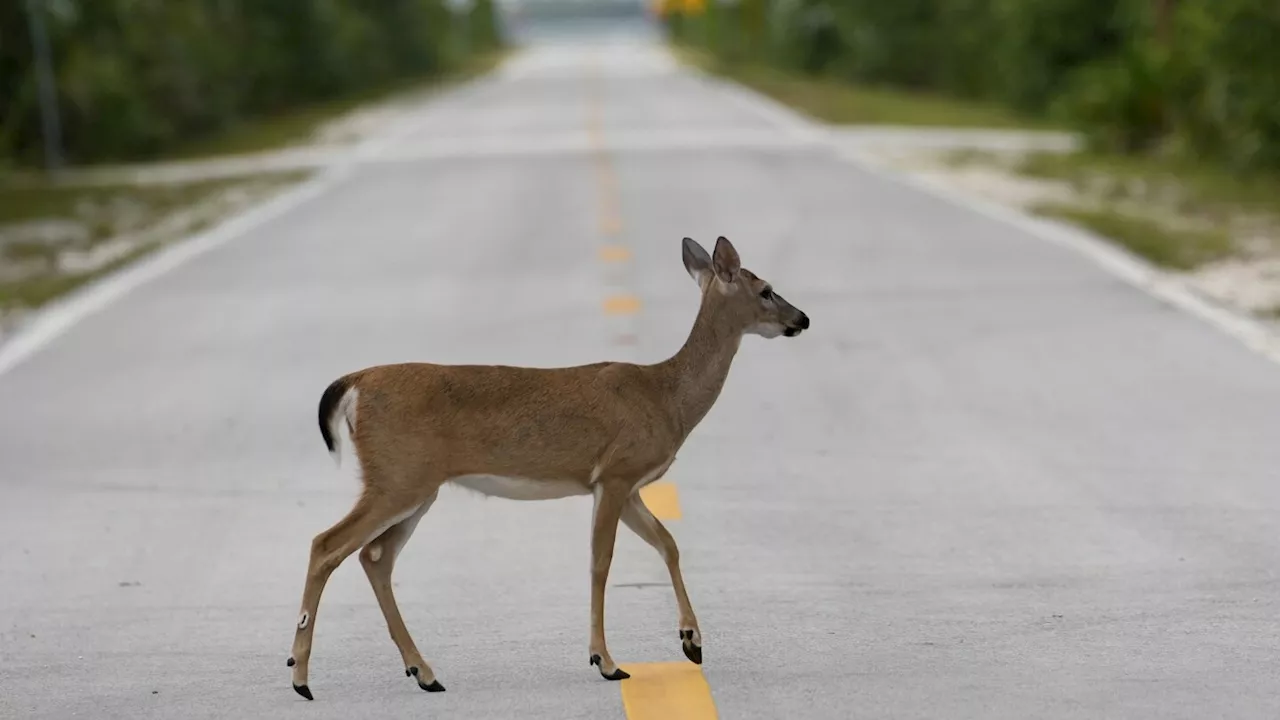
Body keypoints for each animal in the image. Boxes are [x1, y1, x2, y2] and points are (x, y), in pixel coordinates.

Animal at [290, 234, 808, 696]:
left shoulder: (628, 486)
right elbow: (601, 561)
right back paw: (301, 677)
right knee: (327, 544)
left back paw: (424, 673)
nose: (802, 318)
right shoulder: (616, 473)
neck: (666, 397)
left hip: (416, 485)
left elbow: (668, 543)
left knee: (374, 557)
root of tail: (355, 382)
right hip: (398, 476)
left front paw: (692, 642)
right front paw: (606, 661)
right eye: (766, 289)